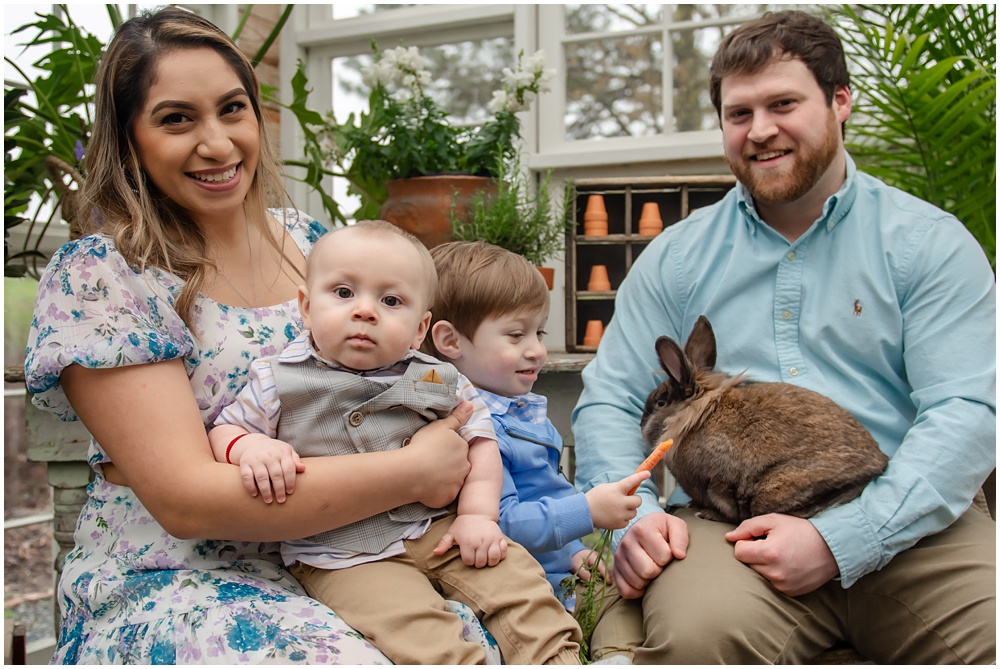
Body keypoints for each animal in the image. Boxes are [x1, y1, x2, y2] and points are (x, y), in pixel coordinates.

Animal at [640, 316, 884, 524]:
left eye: (660, 403)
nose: (641, 426)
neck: (692, 414)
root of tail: (878, 466)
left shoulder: (719, 483)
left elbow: (727, 509)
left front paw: (706, 513)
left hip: (772, 490)